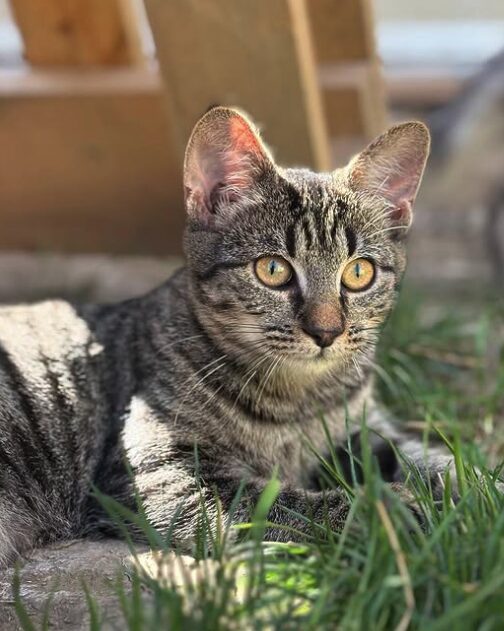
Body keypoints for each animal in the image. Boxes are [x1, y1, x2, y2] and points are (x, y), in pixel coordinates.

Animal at [0, 106, 454, 564]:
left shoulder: (363, 427)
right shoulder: (161, 471)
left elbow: (428, 456)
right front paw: (386, 509)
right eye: (273, 269)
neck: (298, 402)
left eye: (359, 273)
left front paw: (464, 488)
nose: (326, 331)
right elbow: (280, 503)